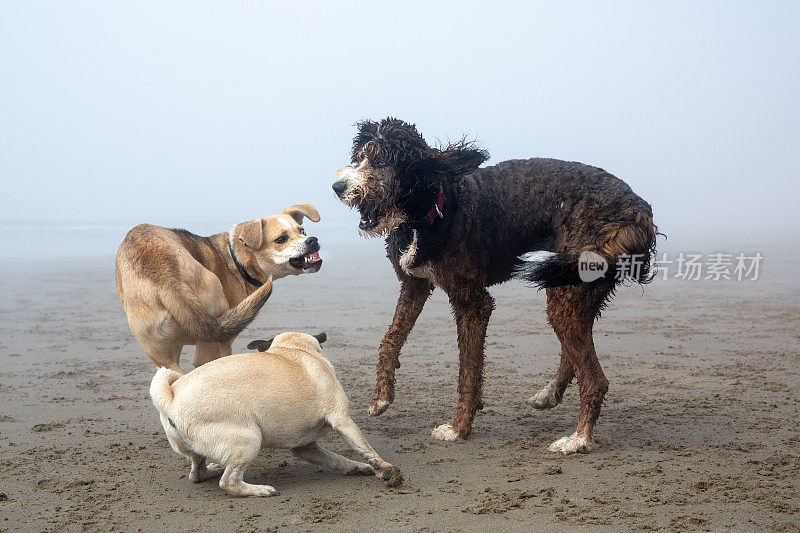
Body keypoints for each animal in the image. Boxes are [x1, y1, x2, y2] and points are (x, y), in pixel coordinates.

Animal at [116, 204, 322, 370]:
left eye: (302, 231)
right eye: (281, 239)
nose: (312, 240)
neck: (237, 261)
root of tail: (165, 276)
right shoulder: (226, 343)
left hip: (161, 355)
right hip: (213, 338)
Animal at [149, 330, 400, 496]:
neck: (293, 349)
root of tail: (171, 398)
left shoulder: (306, 447)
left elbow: (336, 459)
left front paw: (355, 467)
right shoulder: (343, 421)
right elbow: (366, 449)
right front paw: (386, 470)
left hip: (198, 450)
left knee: (197, 472)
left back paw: (212, 470)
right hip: (249, 439)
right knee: (229, 482)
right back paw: (259, 490)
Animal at [332, 117, 656, 454]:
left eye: (382, 161)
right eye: (358, 158)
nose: (337, 187)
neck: (431, 207)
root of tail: (636, 210)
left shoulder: (473, 303)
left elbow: (468, 370)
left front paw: (459, 428)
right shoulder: (414, 285)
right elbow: (390, 340)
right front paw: (381, 397)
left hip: (567, 289)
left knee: (594, 380)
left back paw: (578, 439)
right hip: (570, 287)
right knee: (575, 352)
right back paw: (549, 396)